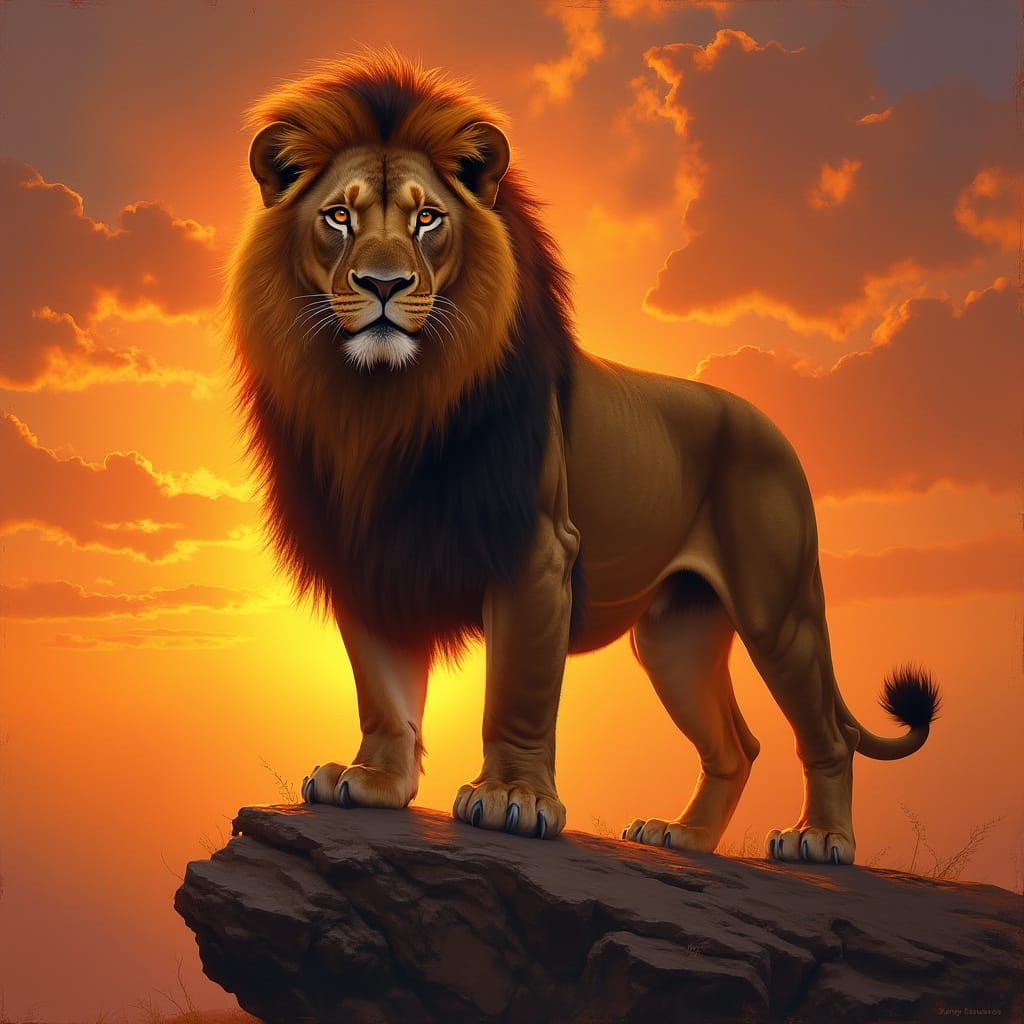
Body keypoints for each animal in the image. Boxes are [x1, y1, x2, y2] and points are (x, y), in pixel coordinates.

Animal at [229, 49, 939, 866]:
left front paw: (512, 798)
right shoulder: (368, 552)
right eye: (338, 217)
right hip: (674, 637)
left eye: (427, 218)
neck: (383, 405)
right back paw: (684, 837)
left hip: (778, 611)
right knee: (737, 745)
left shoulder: (538, 551)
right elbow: (384, 689)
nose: (383, 284)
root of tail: (771, 424)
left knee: (827, 734)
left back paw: (821, 839)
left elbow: (518, 689)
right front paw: (375, 779)